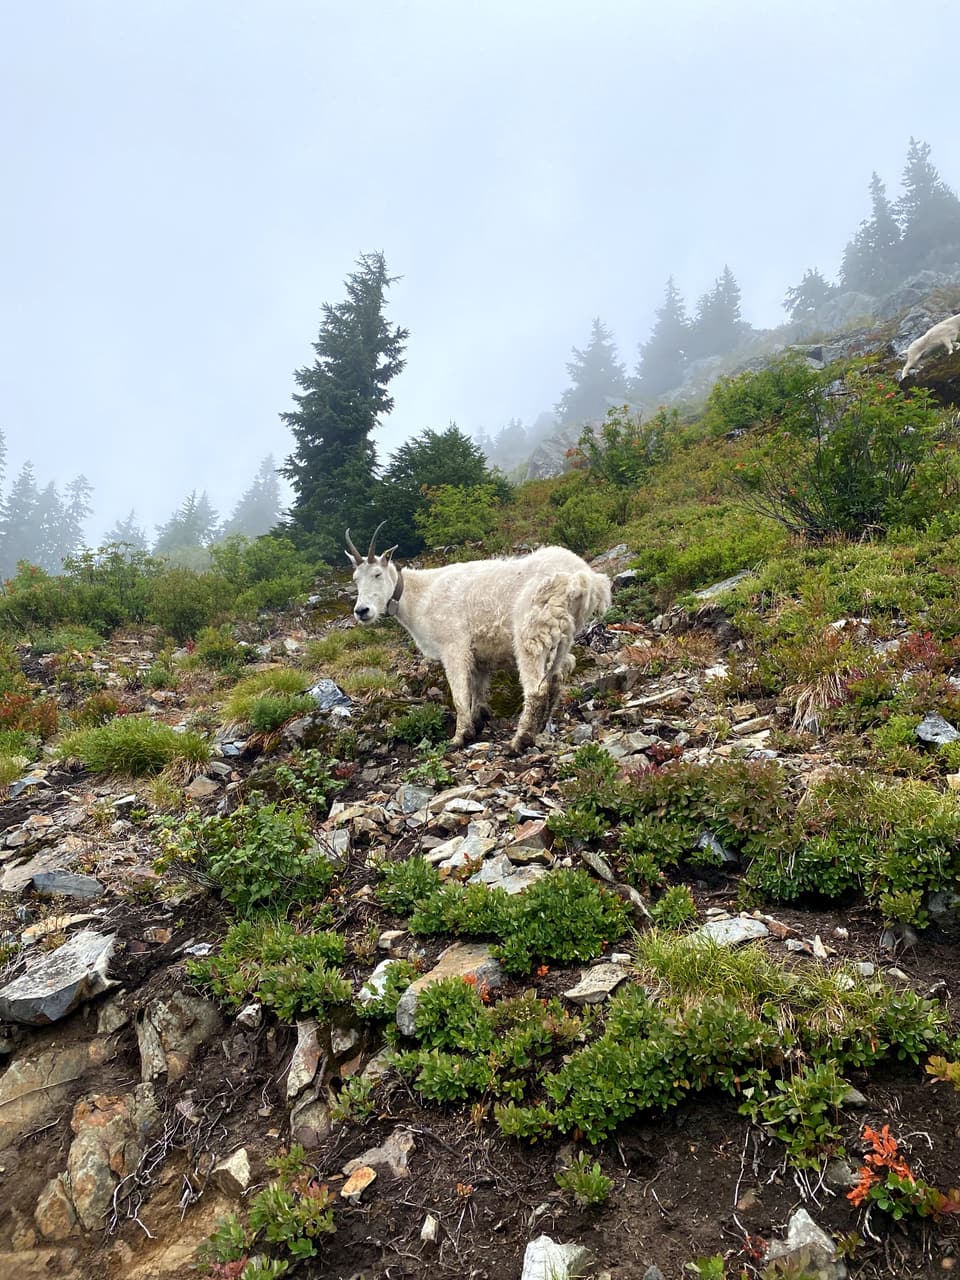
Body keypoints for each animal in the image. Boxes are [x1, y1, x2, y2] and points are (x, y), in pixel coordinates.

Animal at [345, 524, 612, 753]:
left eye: (377, 574)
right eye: (355, 578)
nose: (362, 611)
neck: (420, 596)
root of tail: (583, 579)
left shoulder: (454, 645)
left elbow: (460, 694)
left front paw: (459, 736)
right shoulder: (479, 655)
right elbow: (477, 688)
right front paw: (478, 721)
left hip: (531, 631)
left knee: (536, 688)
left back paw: (520, 741)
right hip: (564, 634)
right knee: (555, 679)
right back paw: (538, 729)